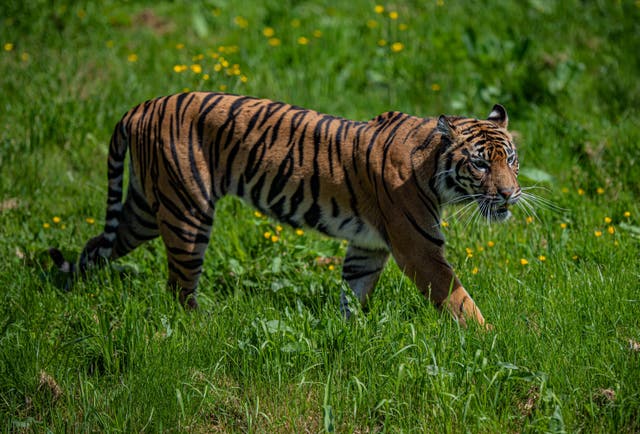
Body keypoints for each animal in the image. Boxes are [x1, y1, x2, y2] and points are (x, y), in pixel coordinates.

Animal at [48, 92, 520, 328]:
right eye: (480, 164)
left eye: (511, 159)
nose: (510, 195)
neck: (432, 168)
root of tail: (141, 106)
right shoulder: (418, 248)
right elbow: (458, 298)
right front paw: (490, 340)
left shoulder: (368, 247)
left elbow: (354, 290)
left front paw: (349, 333)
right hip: (188, 212)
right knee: (178, 288)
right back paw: (201, 328)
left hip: (146, 207)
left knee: (96, 247)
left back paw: (72, 289)